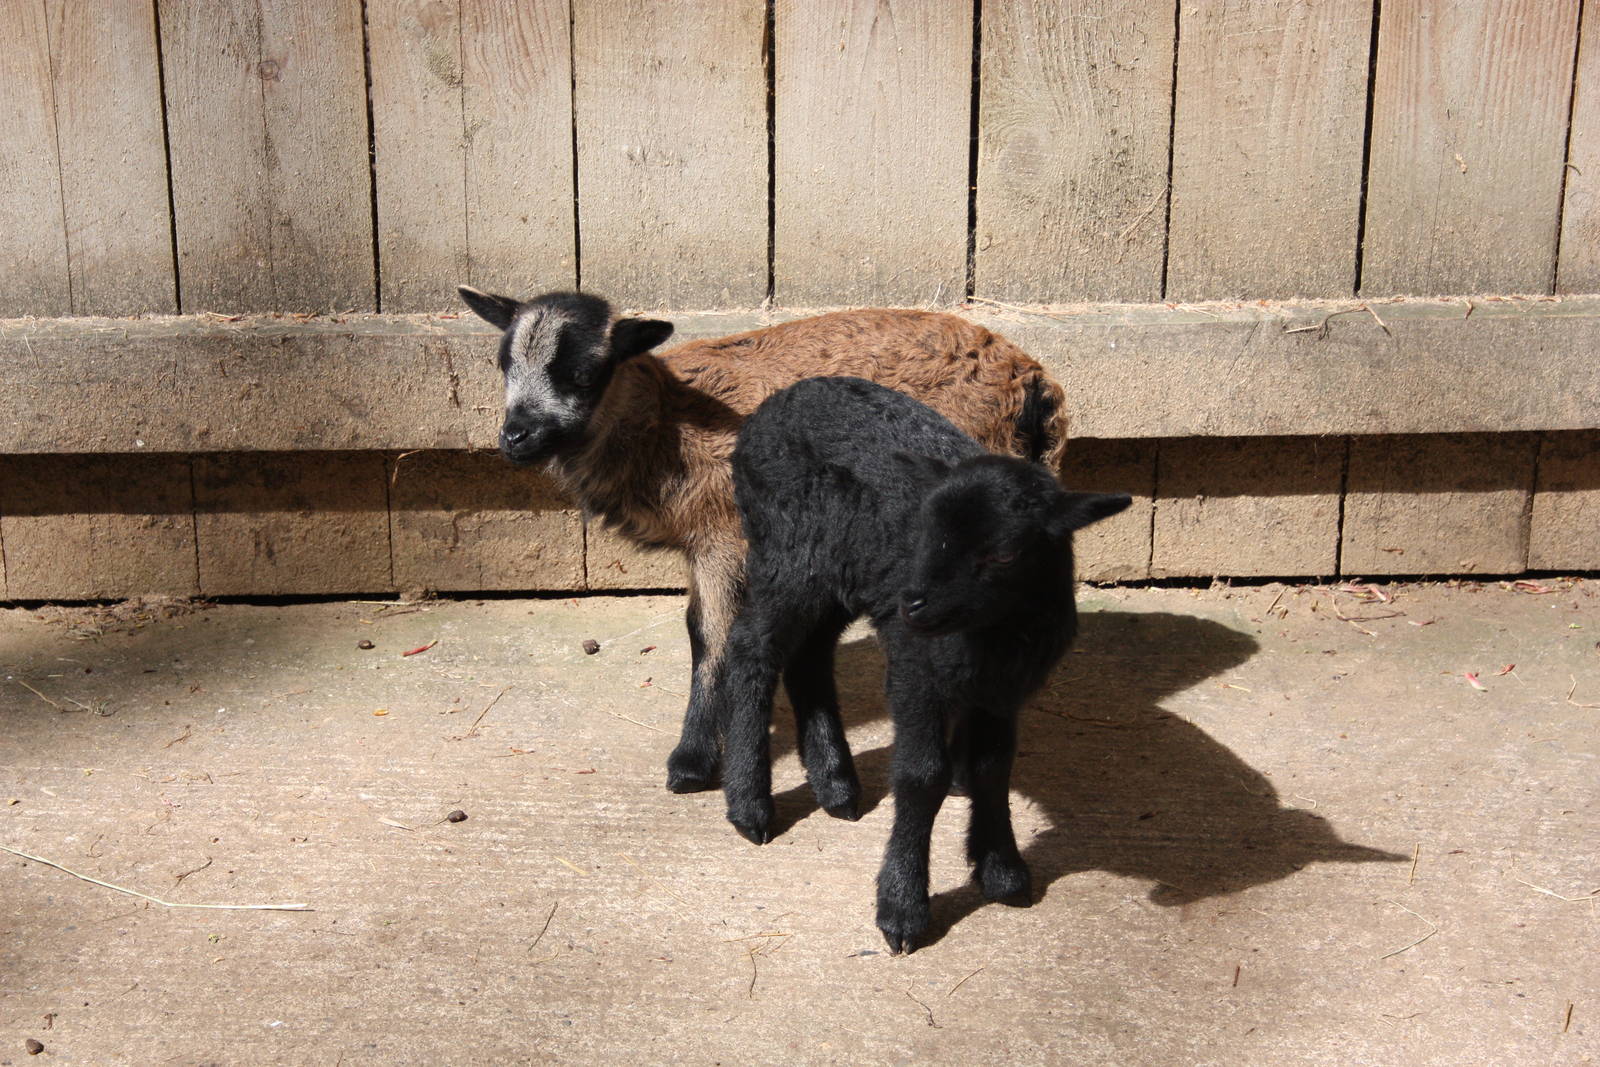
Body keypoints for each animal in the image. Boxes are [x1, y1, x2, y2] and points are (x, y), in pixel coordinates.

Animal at [456, 287, 1070, 812]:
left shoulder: (723, 536)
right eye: (504, 365)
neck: (663, 421)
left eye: (584, 374)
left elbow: (711, 636)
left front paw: (692, 762)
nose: (515, 437)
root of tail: (1033, 384)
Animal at [713, 376, 1130, 953]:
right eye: (925, 532)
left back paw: (836, 785)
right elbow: (922, 776)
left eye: (1004, 553)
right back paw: (751, 806)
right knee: (753, 646)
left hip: (843, 572)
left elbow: (993, 768)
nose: (913, 603)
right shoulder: (916, 675)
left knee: (809, 655)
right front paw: (903, 907)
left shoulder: (1003, 692)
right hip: (787, 549)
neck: (994, 636)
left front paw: (1002, 871)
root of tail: (777, 400)